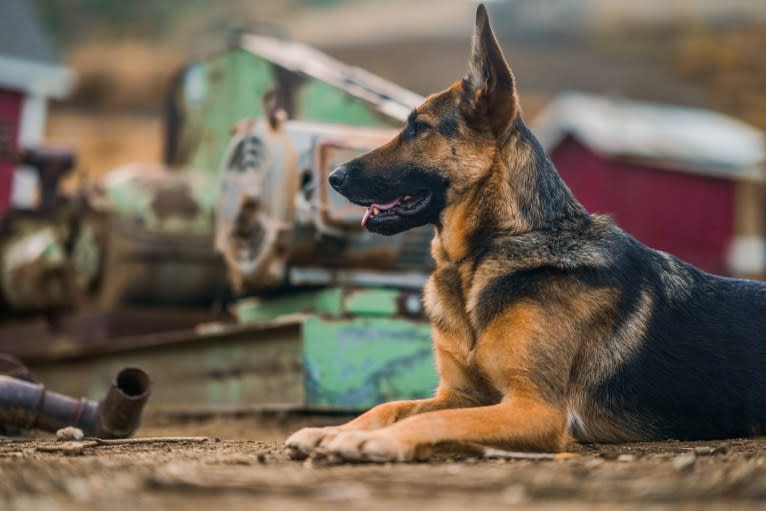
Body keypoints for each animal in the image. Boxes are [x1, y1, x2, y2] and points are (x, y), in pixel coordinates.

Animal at [286, 2, 766, 462]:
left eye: (418, 128)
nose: (332, 177)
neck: (488, 253)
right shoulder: (461, 393)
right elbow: (390, 406)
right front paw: (332, 430)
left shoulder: (534, 407)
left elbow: (431, 420)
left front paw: (369, 441)